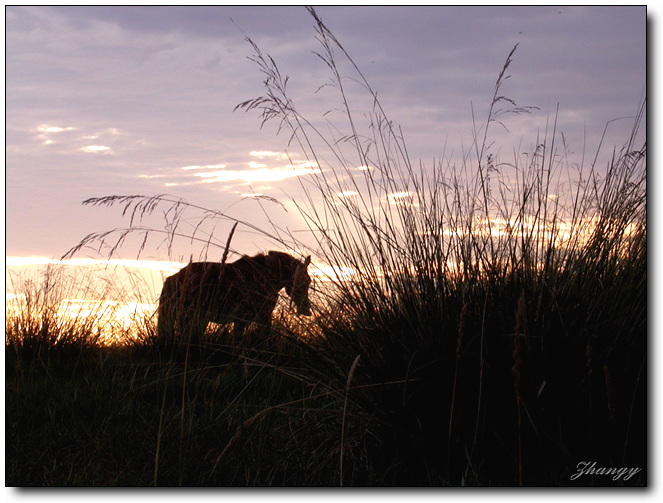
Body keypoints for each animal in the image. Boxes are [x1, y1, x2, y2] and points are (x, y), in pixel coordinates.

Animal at [157, 251, 312, 344]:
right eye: (306, 281)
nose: (306, 310)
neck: (267, 275)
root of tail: (172, 279)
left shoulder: (252, 319)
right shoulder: (256, 317)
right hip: (189, 317)